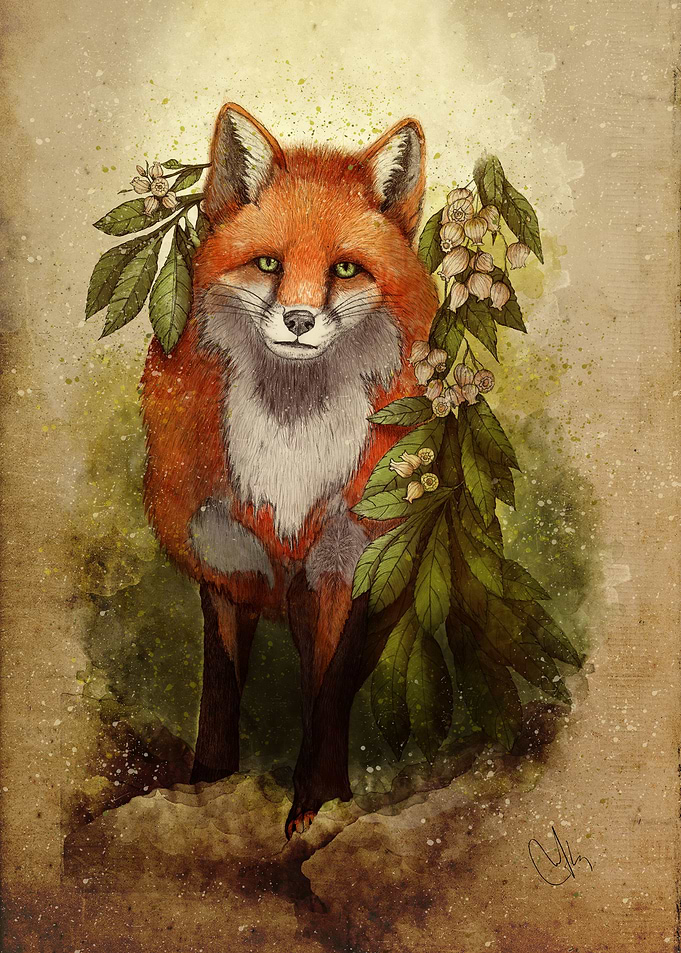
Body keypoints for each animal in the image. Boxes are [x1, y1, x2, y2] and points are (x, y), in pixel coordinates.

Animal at [140, 103, 439, 838]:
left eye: (346, 269)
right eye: (269, 263)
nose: (299, 319)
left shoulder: (342, 570)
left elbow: (326, 698)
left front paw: (318, 801)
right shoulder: (225, 566)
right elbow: (220, 695)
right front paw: (208, 786)